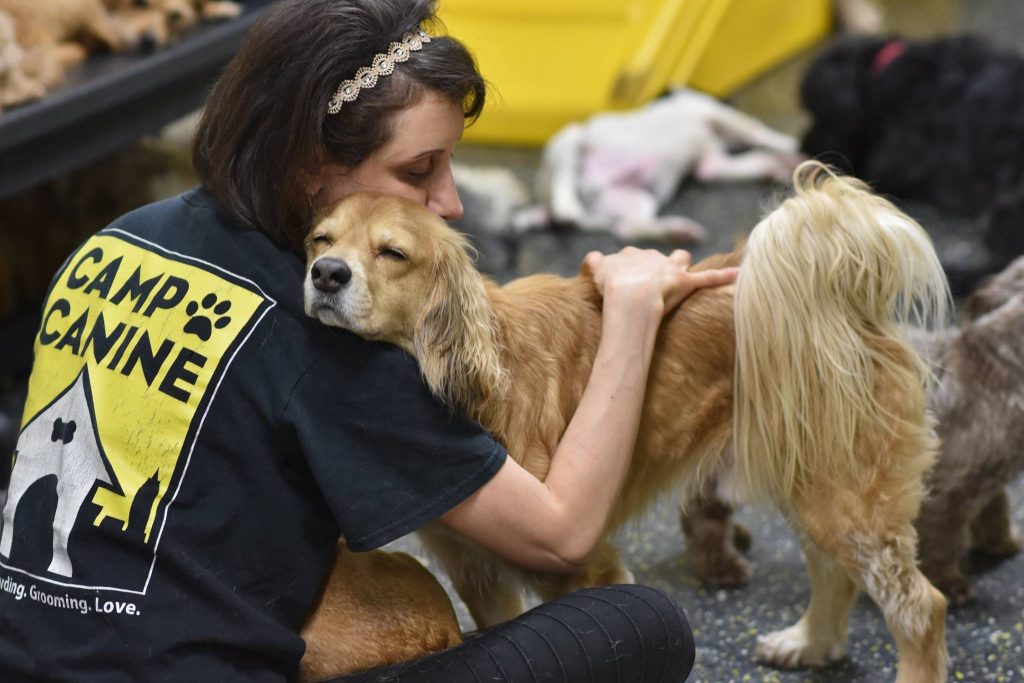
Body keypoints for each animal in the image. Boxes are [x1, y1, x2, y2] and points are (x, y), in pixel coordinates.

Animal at [303, 162, 950, 679]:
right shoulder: (477, 573)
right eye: (319, 239)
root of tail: (845, 301)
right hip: (812, 482)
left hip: (846, 498)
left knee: (920, 608)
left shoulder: (580, 563)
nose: (327, 273)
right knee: (834, 571)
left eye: (393, 253)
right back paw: (811, 645)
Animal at [516, 88, 802, 241]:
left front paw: (782, 165)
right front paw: (791, 146)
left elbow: (754, 159)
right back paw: (568, 207)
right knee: (563, 178)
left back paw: (677, 231)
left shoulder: (712, 164)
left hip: (634, 200)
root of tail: (545, 206)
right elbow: (757, 130)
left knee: (629, 228)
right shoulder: (713, 114)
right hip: (569, 140)